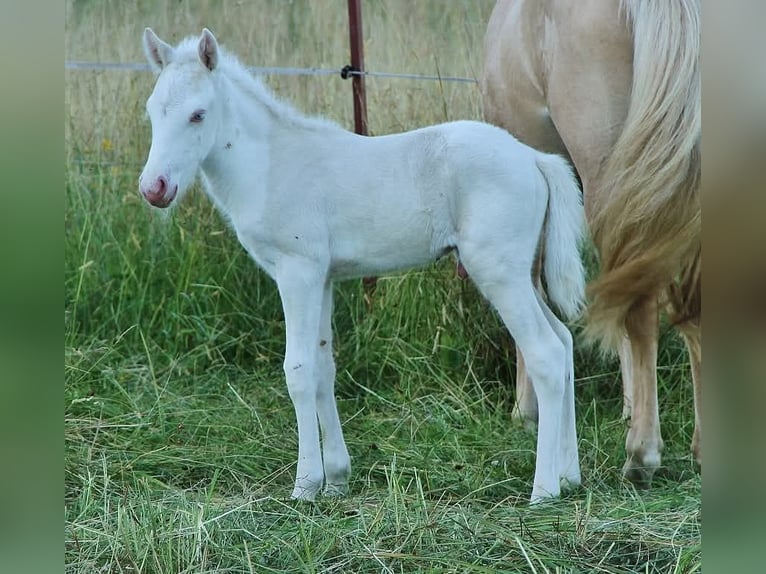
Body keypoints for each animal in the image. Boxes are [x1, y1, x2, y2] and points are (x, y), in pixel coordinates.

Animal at [138, 28, 587, 503]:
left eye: (198, 115)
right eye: (152, 110)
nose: (154, 188)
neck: (270, 165)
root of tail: (534, 158)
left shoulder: (297, 271)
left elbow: (298, 371)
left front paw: (305, 486)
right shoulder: (323, 278)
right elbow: (323, 368)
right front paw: (336, 479)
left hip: (499, 272)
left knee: (545, 353)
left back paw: (543, 490)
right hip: (521, 272)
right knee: (563, 342)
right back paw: (569, 475)